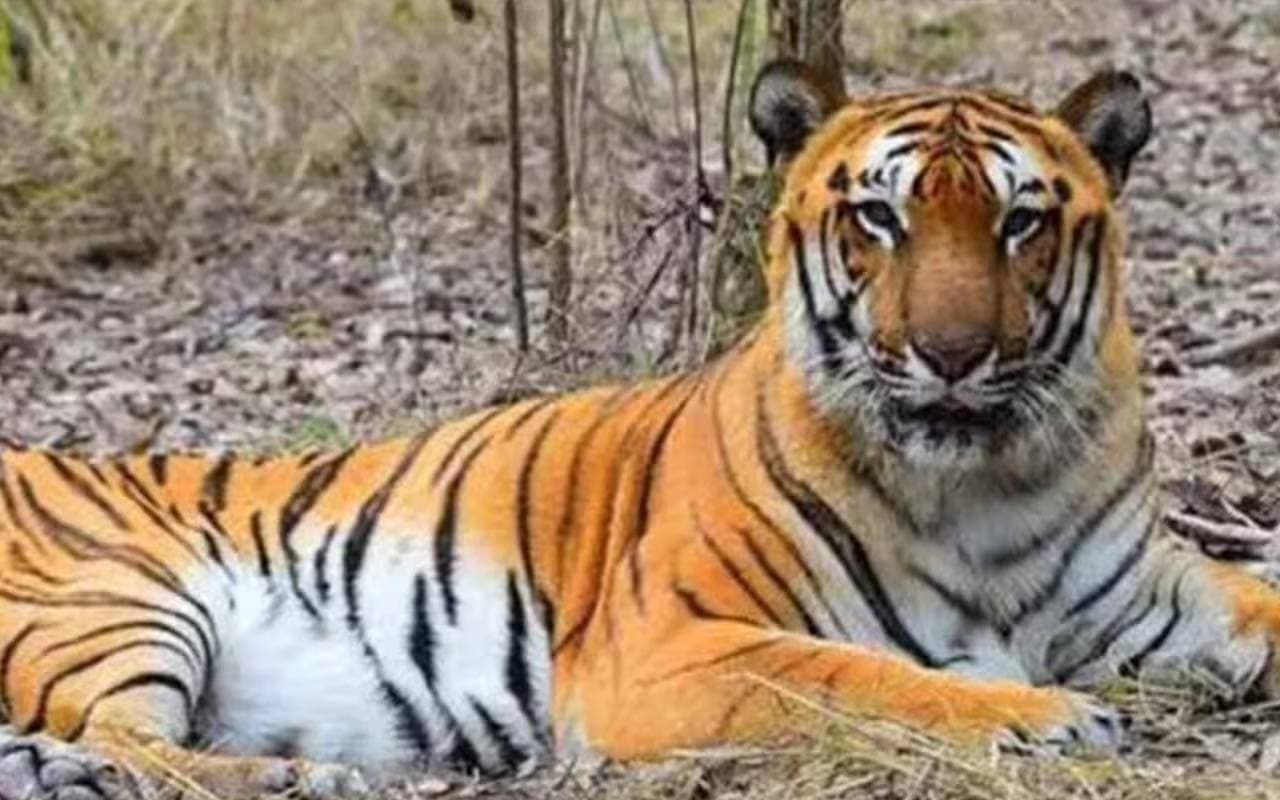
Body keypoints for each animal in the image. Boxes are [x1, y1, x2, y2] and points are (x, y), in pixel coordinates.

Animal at [2, 58, 1279, 800]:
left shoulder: (1148, 589)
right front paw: (1047, 716)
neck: (987, 481)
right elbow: (868, 677)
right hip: (115, 602)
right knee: (129, 737)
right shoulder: (665, 644)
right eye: (878, 218)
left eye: (1019, 223)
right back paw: (300, 778)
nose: (953, 353)